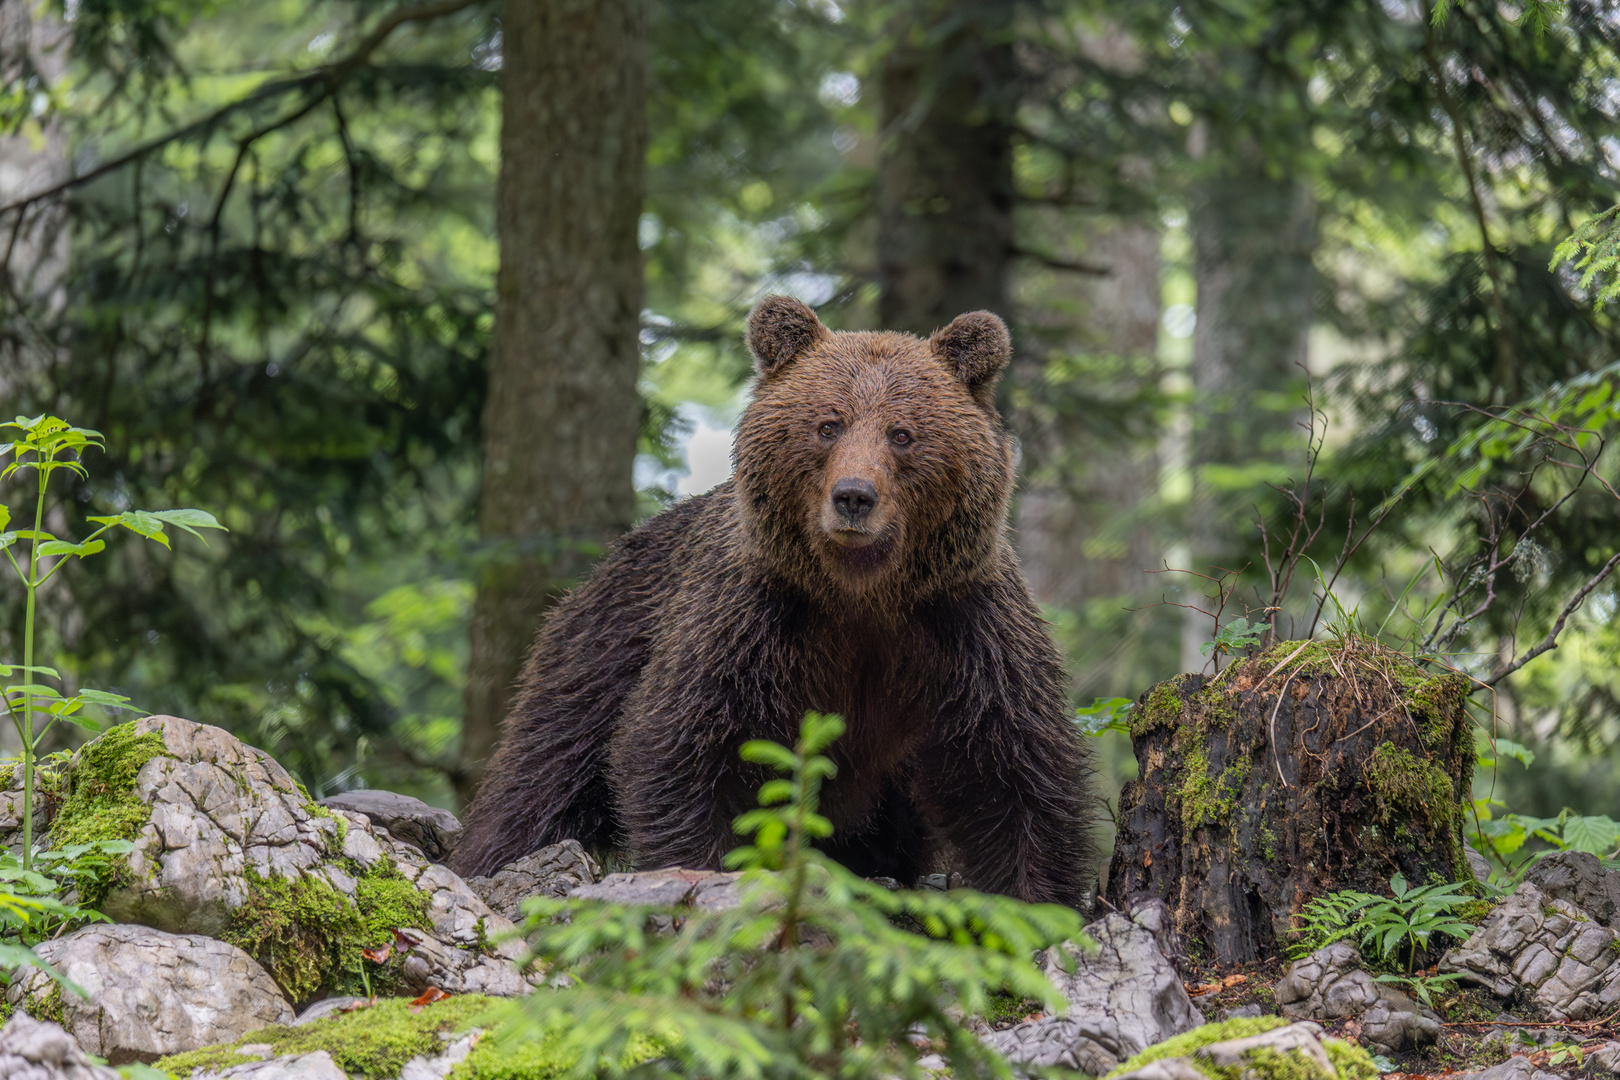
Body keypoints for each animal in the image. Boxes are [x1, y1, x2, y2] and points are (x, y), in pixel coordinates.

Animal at [463, 293, 1108, 906]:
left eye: (901, 433)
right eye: (829, 425)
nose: (854, 496)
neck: (861, 594)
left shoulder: (963, 630)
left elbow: (1014, 772)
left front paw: (1037, 901)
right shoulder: (752, 624)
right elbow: (685, 752)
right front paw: (698, 870)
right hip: (600, 651)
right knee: (542, 774)